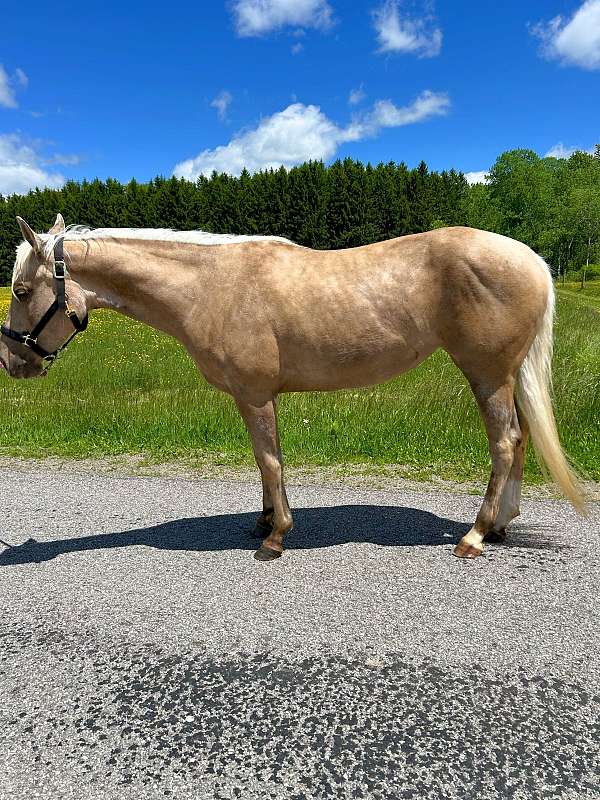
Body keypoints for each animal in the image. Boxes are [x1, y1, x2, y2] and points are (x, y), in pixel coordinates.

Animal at [0, 214, 585, 561]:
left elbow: (268, 460)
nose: (12, 363)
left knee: (505, 443)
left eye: (22, 290)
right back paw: (502, 525)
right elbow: (269, 459)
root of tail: (532, 259)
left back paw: (476, 534)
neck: (209, 286)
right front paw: (262, 521)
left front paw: (276, 536)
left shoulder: (254, 394)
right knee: (520, 441)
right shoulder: (260, 396)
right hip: (505, 376)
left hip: (486, 373)